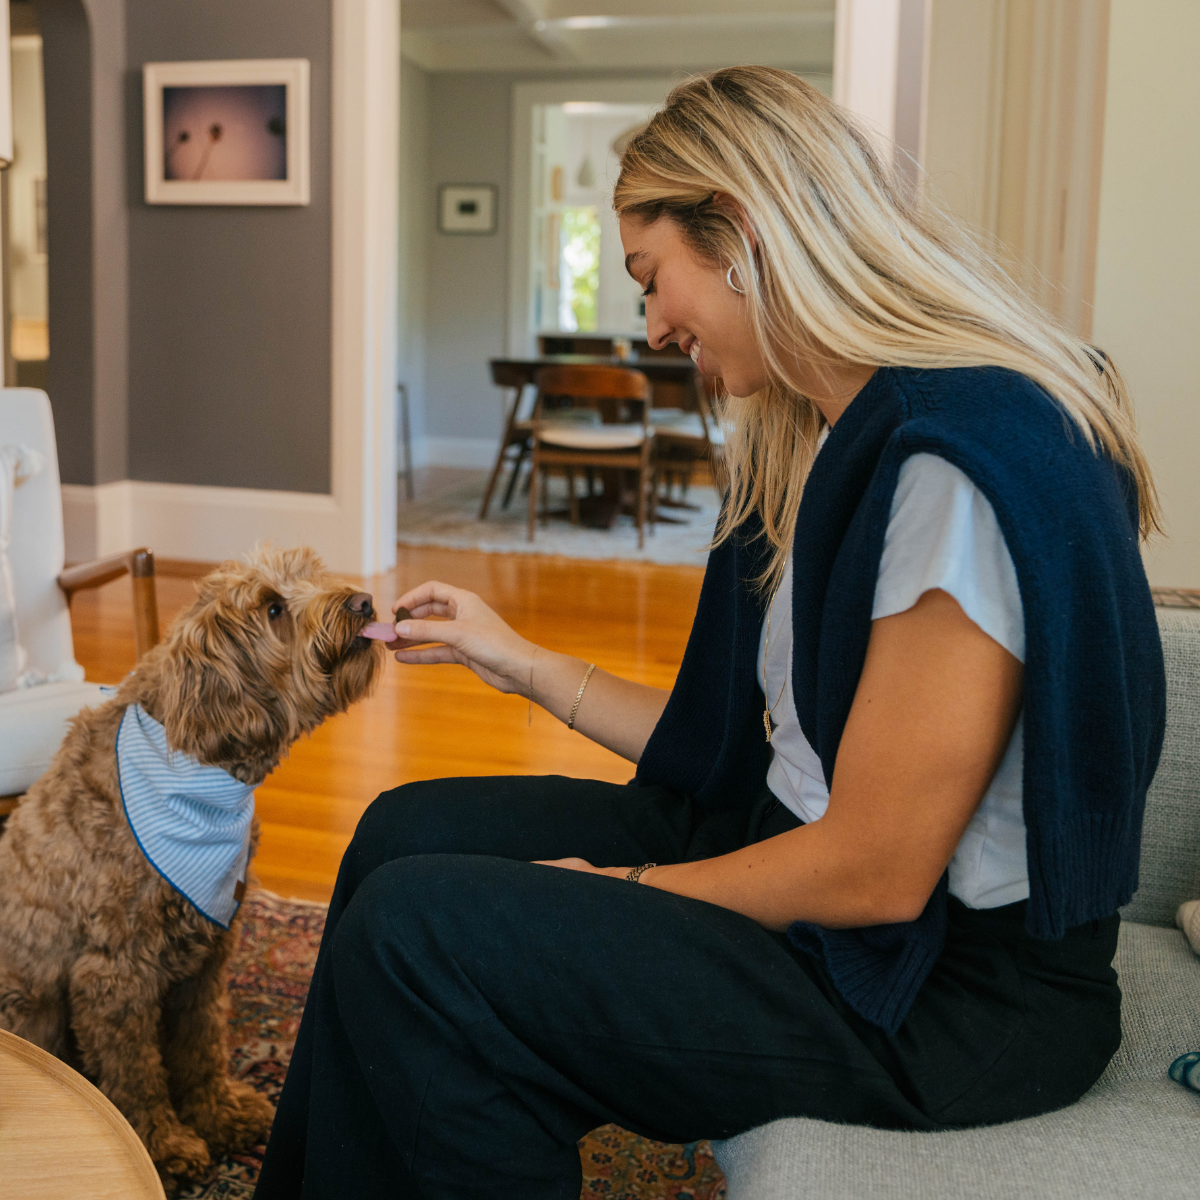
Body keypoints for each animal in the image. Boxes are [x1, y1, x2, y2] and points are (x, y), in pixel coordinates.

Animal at [0, 547, 386, 1190]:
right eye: (274, 608)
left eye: (310, 572)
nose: (365, 601)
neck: (193, 759)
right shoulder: (115, 975)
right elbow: (135, 1073)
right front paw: (163, 1143)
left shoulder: (205, 955)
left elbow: (202, 1045)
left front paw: (218, 1114)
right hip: (31, 1005)